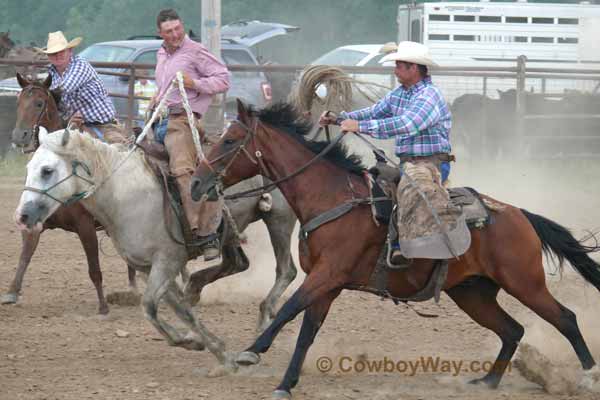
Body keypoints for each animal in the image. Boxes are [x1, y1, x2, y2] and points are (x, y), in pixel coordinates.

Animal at [191, 99, 600, 396]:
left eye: (229, 140)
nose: (196, 183)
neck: (331, 197)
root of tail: (519, 215)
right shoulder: (328, 283)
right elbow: (308, 328)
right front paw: (286, 383)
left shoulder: (328, 274)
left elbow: (289, 310)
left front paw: (248, 353)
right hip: (473, 292)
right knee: (512, 330)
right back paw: (487, 381)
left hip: (524, 282)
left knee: (565, 318)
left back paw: (586, 377)